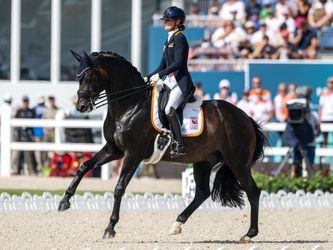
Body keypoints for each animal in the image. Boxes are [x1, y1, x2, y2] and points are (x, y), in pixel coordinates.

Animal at [57, 50, 268, 242]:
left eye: (90, 76)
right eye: (78, 76)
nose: (81, 106)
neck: (130, 105)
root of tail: (246, 117)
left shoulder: (133, 154)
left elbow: (119, 187)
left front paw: (110, 228)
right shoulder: (113, 150)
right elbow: (84, 166)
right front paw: (64, 202)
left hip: (237, 161)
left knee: (252, 191)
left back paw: (249, 234)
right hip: (203, 162)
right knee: (202, 193)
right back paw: (176, 224)